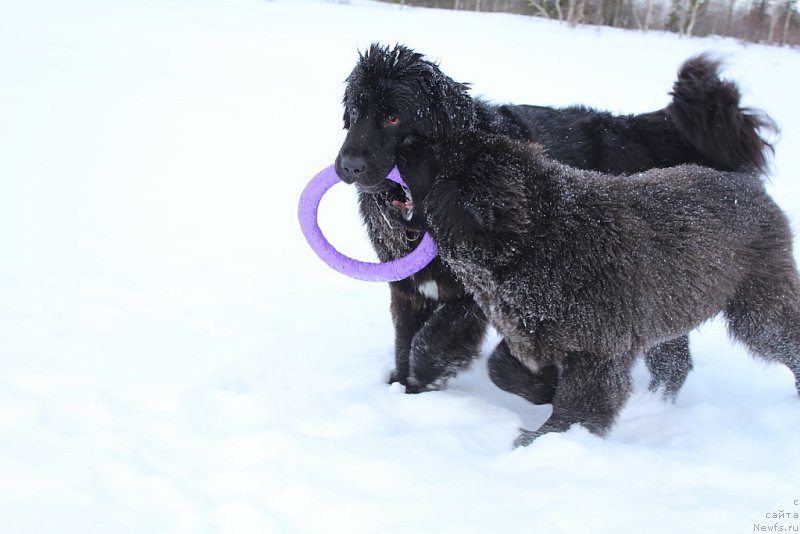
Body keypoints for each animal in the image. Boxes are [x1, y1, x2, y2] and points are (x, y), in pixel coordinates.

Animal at [336, 43, 776, 406]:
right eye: (355, 115)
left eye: (393, 117)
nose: (349, 165)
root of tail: (639, 130)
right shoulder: (409, 290)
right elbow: (405, 341)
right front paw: (402, 388)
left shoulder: (476, 295)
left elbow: (429, 343)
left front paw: (427, 381)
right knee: (672, 355)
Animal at [400, 131, 800, 448]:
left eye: (439, 161)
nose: (406, 144)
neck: (540, 238)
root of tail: (753, 189)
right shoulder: (534, 331)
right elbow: (500, 367)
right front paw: (544, 389)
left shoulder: (598, 349)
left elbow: (581, 402)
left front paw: (546, 438)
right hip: (669, 313)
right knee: (674, 366)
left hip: (759, 308)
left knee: (786, 339)